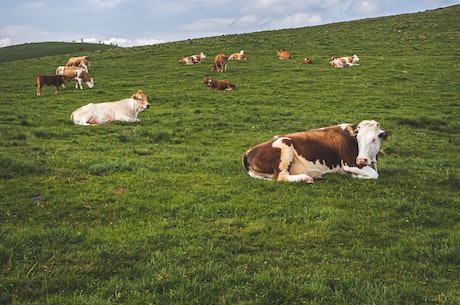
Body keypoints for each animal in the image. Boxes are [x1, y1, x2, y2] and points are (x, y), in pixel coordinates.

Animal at [241, 120, 392, 183]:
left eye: (374, 139)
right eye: (358, 138)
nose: (361, 160)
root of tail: (249, 151)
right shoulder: (349, 163)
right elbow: (374, 174)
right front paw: (355, 176)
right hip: (285, 145)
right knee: (281, 177)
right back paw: (307, 178)